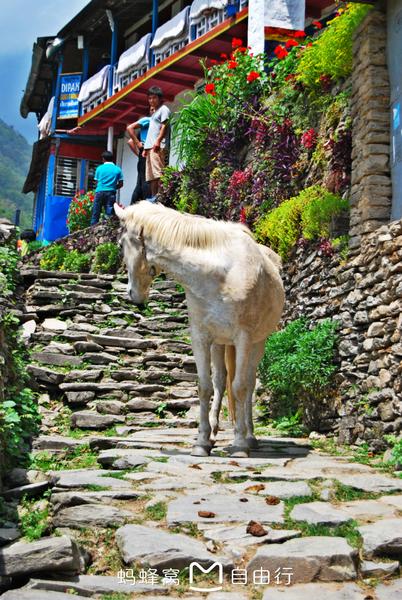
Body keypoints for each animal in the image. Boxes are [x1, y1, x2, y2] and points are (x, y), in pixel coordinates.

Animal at [114, 199, 284, 458]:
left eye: (122, 244)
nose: (133, 294)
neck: (220, 275)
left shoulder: (244, 338)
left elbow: (240, 387)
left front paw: (240, 444)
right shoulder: (201, 338)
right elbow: (205, 387)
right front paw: (202, 442)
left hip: (257, 343)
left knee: (248, 383)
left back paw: (249, 436)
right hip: (220, 344)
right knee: (221, 382)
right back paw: (215, 433)